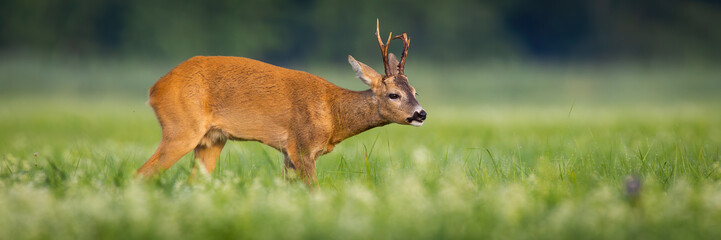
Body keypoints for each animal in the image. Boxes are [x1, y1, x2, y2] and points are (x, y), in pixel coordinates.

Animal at [138, 20, 424, 186]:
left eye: (415, 91)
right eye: (394, 95)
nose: (421, 114)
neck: (333, 114)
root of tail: (154, 88)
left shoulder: (287, 154)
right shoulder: (302, 146)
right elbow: (313, 190)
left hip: (212, 139)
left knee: (193, 182)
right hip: (181, 128)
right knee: (142, 173)